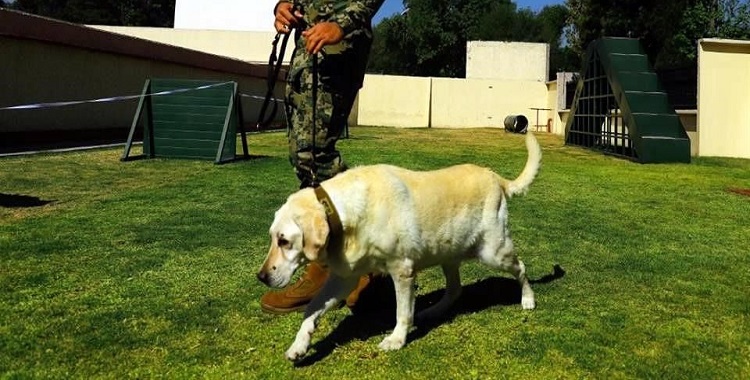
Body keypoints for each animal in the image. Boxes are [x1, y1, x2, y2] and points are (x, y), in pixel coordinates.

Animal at [258, 132, 540, 360]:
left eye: (284, 241)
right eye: (273, 238)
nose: (261, 277)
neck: (342, 213)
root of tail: (495, 176)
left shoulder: (402, 270)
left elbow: (402, 312)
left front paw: (396, 339)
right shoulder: (343, 278)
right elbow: (311, 309)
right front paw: (299, 345)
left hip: (494, 252)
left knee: (521, 267)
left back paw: (528, 299)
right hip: (448, 254)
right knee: (455, 290)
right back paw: (433, 312)